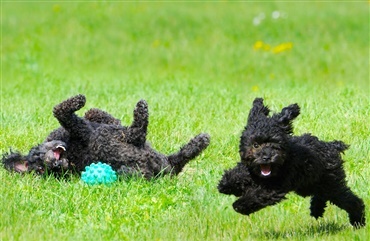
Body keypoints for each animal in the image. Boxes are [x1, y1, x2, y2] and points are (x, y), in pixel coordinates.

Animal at [2, 94, 211, 179]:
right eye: (40, 169)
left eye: (38, 159)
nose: (53, 164)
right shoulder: (85, 129)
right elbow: (60, 110)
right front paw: (79, 99)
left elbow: (95, 113)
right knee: (138, 132)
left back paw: (199, 142)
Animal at [218, 97, 366, 228]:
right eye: (255, 144)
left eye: (276, 144)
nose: (267, 157)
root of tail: (332, 146)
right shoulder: (251, 170)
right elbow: (240, 172)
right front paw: (226, 184)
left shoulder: (273, 187)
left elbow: (256, 195)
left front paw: (240, 205)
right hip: (311, 184)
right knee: (322, 195)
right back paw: (316, 209)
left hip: (331, 184)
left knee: (351, 200)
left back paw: (358, 222)